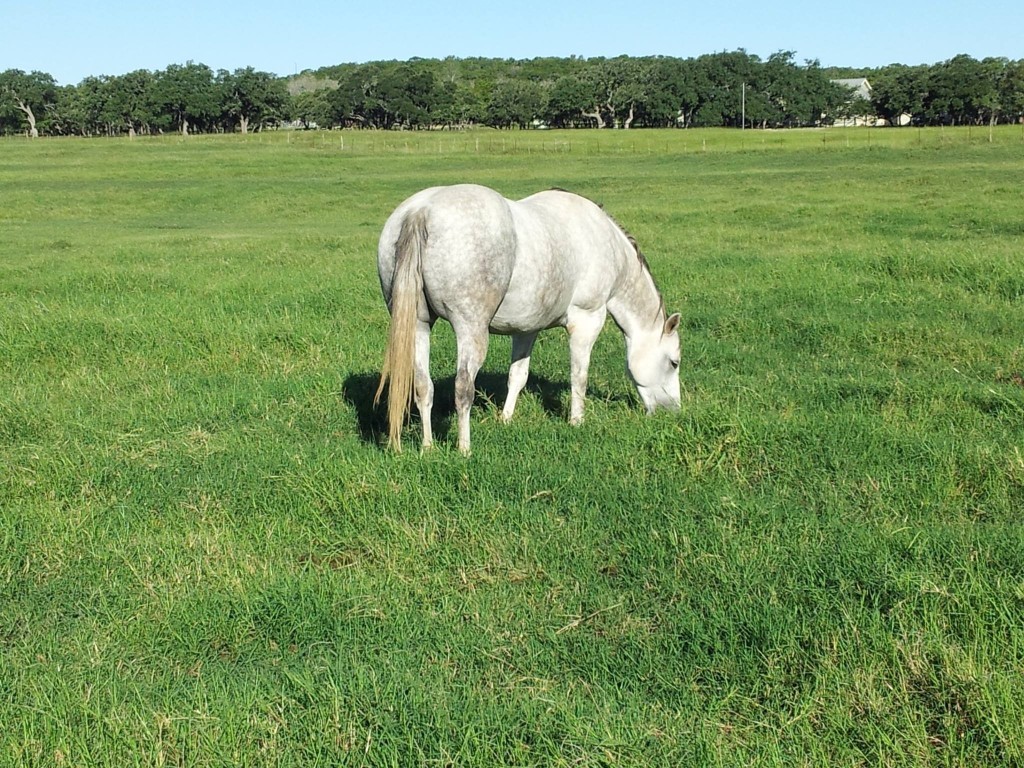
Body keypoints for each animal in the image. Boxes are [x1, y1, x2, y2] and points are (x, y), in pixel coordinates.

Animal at [374, 184, 679, 454]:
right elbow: (578, 376)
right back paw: (464, 449)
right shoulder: (586, 321)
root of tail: (421, 210)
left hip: (419, 326)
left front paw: (506, 418)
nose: (673, 411)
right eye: (674, 362)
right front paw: (577, 421)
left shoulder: (525, 330)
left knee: (423, 387)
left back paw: (427, 447)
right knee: (463, 388)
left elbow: (517, 376)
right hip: (470, 329)